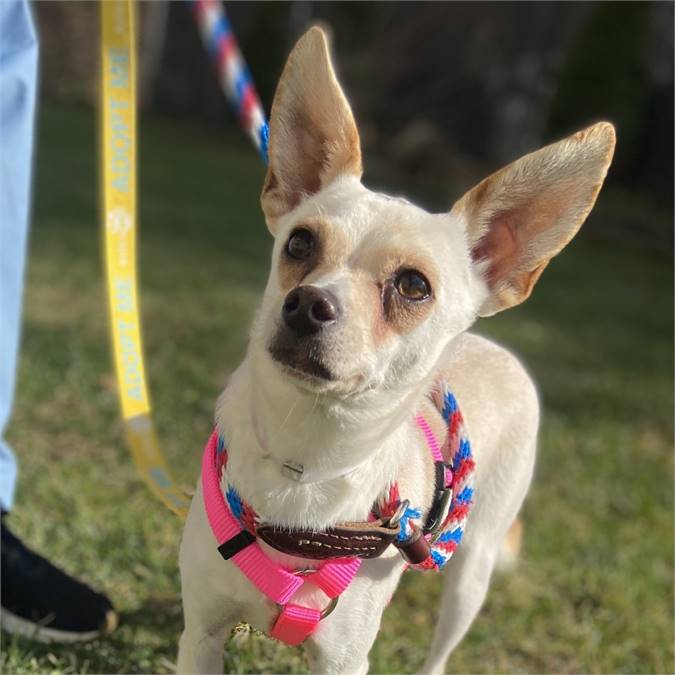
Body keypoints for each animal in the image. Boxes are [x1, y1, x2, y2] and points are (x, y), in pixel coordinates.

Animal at [177, 26, 616, 675]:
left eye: (413, 286)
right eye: (298, 244)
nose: (306, 303)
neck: (304, 466)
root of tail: (495, 348)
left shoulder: (343, 658)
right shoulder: (202, 633)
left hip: (473, 569)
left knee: (443, 644)